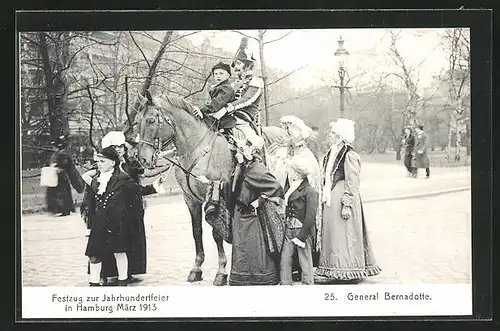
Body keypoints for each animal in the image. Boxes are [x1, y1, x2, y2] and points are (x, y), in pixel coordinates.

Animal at [133, 92, 290, 286]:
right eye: (136, 121)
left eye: (151, 120)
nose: (142, 159)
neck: (198, 149)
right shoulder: (190, 200)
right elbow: (197, 232)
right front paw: (196, 268)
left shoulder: (216, 197)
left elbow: (217, 233)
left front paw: (221, 271)